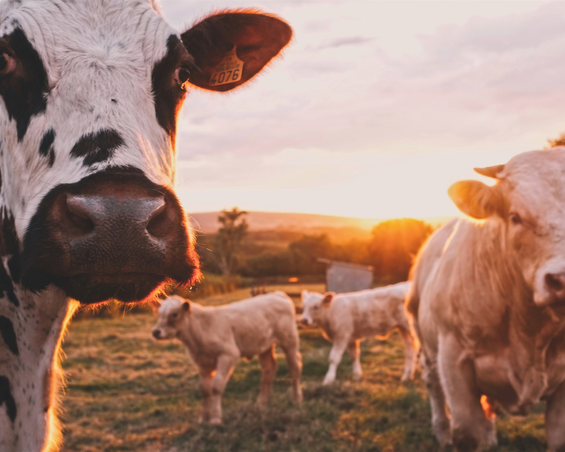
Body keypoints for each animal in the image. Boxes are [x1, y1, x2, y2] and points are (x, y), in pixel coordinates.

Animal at [149, 292, 300, 426]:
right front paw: (204, 418)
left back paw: (296, 399)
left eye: (174, 314)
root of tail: (277, 294)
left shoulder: (228, 354)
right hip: (264, 346)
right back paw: (261, 403)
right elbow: (205, 389)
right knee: (269, 369)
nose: (156, 332)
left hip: (289, 340)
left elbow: (216, 386)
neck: (201, 330)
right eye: (159, 313)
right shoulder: (202, 362)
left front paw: (215, 419)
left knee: (294, 367)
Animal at [406, 149, 565, 452]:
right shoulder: (454, 359)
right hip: (427, 346)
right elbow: (468, 431)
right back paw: (441, 432)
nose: (562, 278)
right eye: (515, 217)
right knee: (433, 386)